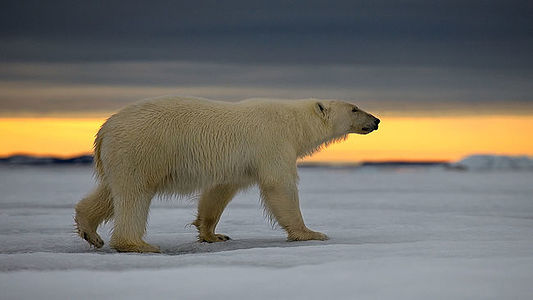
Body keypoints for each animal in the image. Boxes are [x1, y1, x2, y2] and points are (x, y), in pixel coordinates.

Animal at [74, 96, 378, 251]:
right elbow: (279, 185)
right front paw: (310, 233)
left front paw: (213, 234)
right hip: (142, 148)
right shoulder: (273, 142)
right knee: (134, 194)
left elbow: (219, 191)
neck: (294, 122)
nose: (376, 120)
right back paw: (137, 244)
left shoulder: (237, 164)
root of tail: (105, 128)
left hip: (122, 155)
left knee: (110, 192)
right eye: (354, 108)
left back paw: (91, 232)